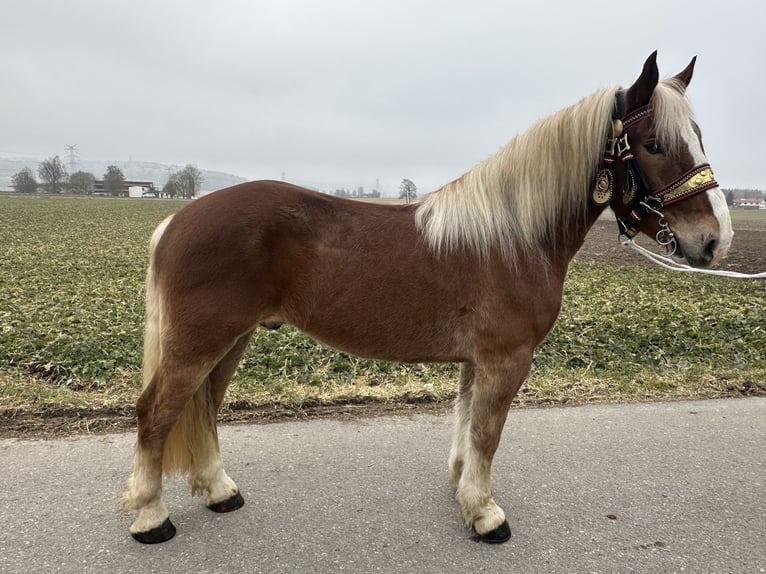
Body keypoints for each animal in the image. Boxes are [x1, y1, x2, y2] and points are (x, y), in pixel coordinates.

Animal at [118, 53, 732, 544]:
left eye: (700, 136)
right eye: (654, 144)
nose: (713, 240)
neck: (513, 236)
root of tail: (176, 219)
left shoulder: (477, 361)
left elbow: (466, 422)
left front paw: (463, 492)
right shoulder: (507, 359)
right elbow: (487, 432)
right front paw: (485, 515)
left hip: (231, 340)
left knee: (203, 408)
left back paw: (220, 491)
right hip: (200, 342)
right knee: (155, 412)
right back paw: (151, 517)